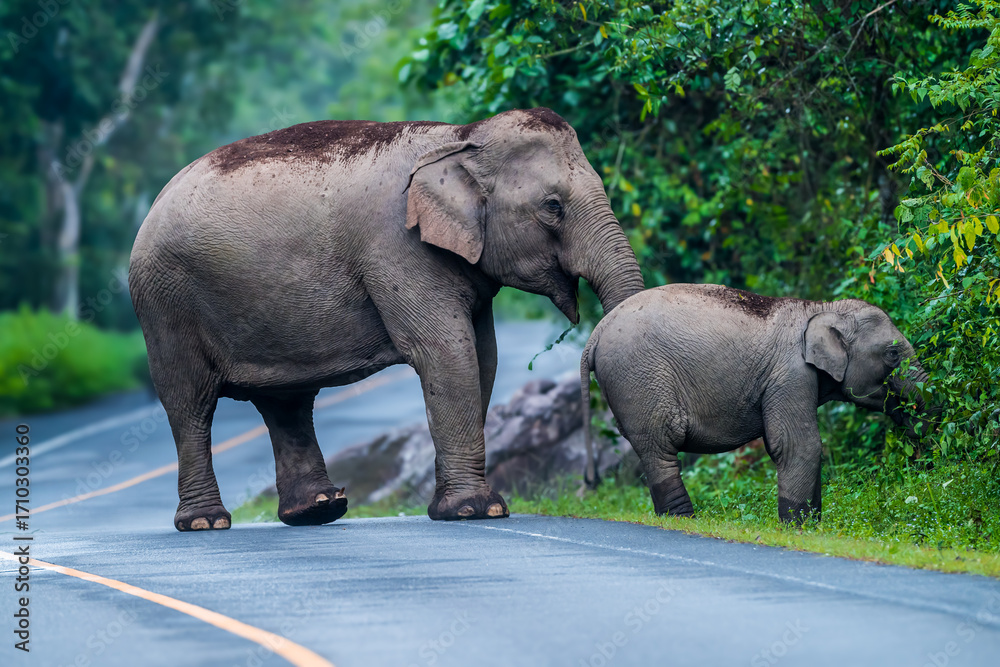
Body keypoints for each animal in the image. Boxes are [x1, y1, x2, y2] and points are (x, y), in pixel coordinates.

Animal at [129, 108, 645, 531]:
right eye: (553, 207)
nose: (591, 480)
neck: (461, 136)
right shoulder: (398, 251)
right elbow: (447, 352)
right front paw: (475, 511)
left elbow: (483, 356)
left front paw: (456, 508)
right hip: (164, 302)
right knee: (190, 402)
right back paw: (206, 522)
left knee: (286, 402)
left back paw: (318, 509)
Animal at [580, 284, 929, 523]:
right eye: (892, 354)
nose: (910, 425)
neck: (820, 308)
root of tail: (593, 336)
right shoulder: (789, 374)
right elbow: (798, 444)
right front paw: (796, 527)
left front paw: (813, 526)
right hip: (637, 379)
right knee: (661, 445)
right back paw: (683, 519)